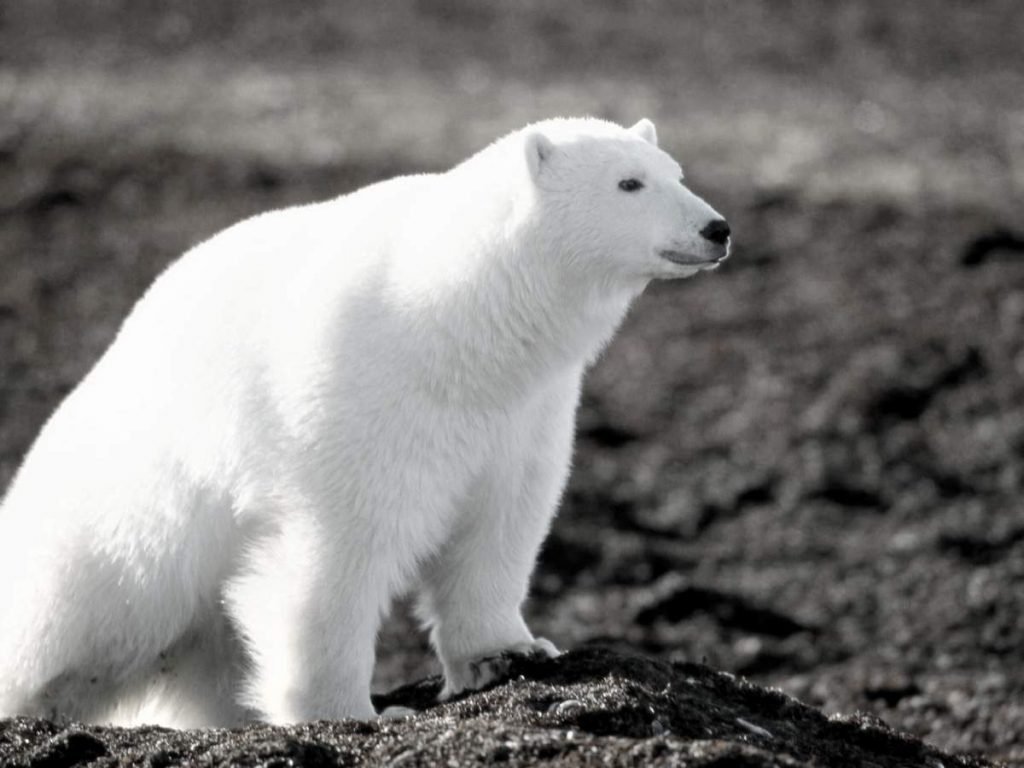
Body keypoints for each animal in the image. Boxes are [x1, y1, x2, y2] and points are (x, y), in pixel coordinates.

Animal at [0, 115, 729, 729]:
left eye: (677, 171)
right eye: (628, 182)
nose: (717, 229)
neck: (456, 327)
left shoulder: (527, 413)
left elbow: (500, 524)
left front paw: (509, 653)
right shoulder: (358, 396)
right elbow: (336, 555)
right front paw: (350, 713)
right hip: (120, 532)